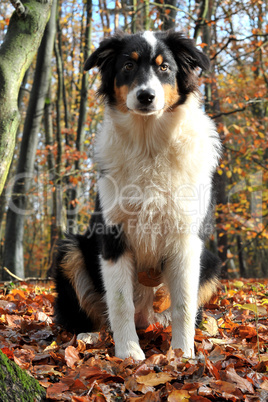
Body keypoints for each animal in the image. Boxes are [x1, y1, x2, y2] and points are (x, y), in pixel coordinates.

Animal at [51, 29, 220, 360]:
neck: (148, 143)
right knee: (91, 315)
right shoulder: (113, 236)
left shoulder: (187, 238)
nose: (146, 96)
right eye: (128, 66)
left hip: (210, 265)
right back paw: (89, 337)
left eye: (164, 67)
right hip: (71, 250)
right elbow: (119, 302)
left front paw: (182, 355)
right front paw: (129, 353)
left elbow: (183, 304)